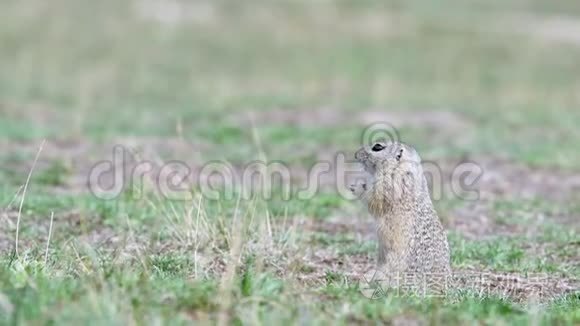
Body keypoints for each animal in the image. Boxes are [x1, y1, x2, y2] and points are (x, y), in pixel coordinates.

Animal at [348, 140, 454, 278]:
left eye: (377, 146)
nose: (356, 154)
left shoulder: (387, 185)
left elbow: (374, 199)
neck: (399, 167)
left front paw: (355, 186)